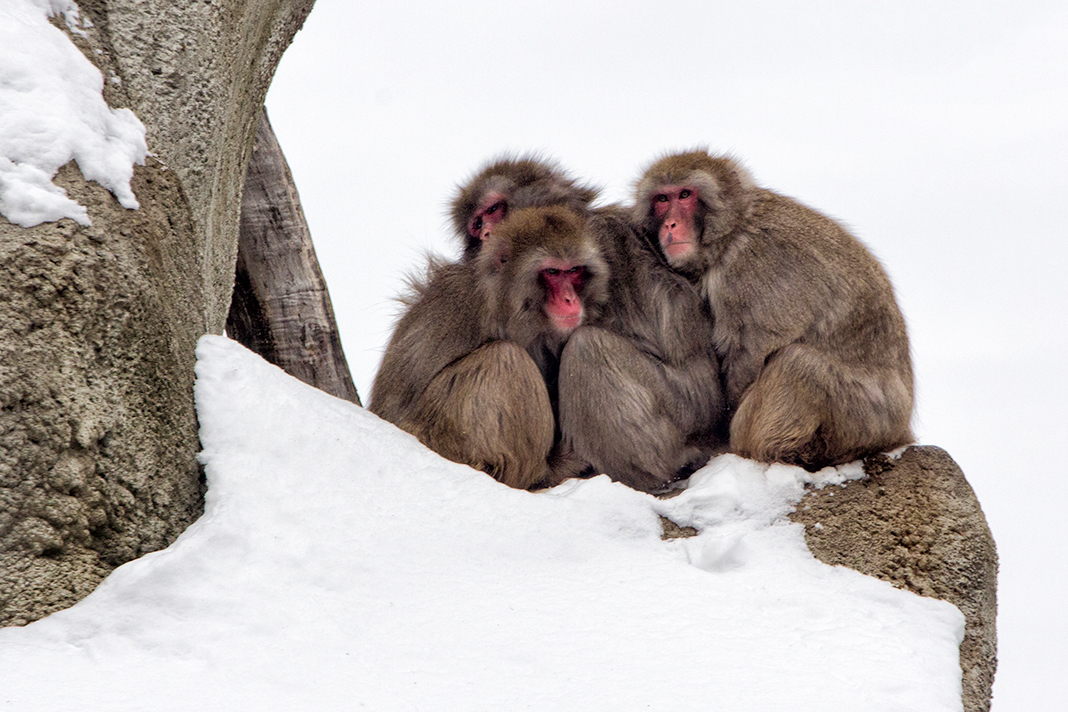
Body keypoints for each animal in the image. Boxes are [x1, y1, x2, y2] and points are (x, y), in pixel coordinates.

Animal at [369, 202, 610, 486]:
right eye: (552, 272)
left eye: (574, 271)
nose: (570, 300)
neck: (507, 304)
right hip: (441, 439)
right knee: (504, 357)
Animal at [632, 149, 918, 473]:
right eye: (662, 200)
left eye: (684, 195)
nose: (670, 225)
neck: (732, 233)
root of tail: (901, 430)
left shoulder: (752, 270)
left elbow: (751, 352)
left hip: (865, 418)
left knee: (797, 364)